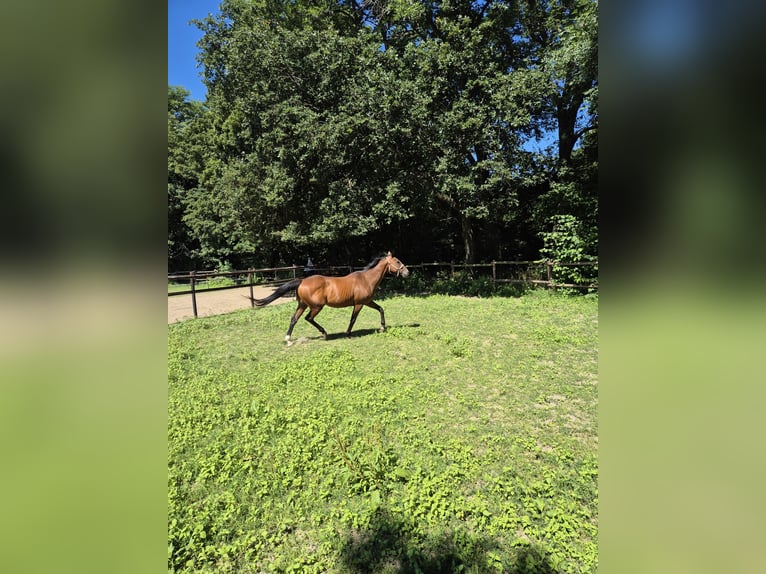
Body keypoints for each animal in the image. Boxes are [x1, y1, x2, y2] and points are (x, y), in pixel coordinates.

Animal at [252, 252, 409, 344]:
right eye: (398, 262)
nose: (407, 272)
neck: (366, 279)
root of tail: (302, 281)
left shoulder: (367, 301)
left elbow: (381, 309)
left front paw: (382, 327)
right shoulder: (359, 304)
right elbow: (353, 318)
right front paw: (348, 334)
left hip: (302, 305)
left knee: (294, 319)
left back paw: (288, 339)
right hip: (316, 307)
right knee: (308, 318)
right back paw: (324, 334)